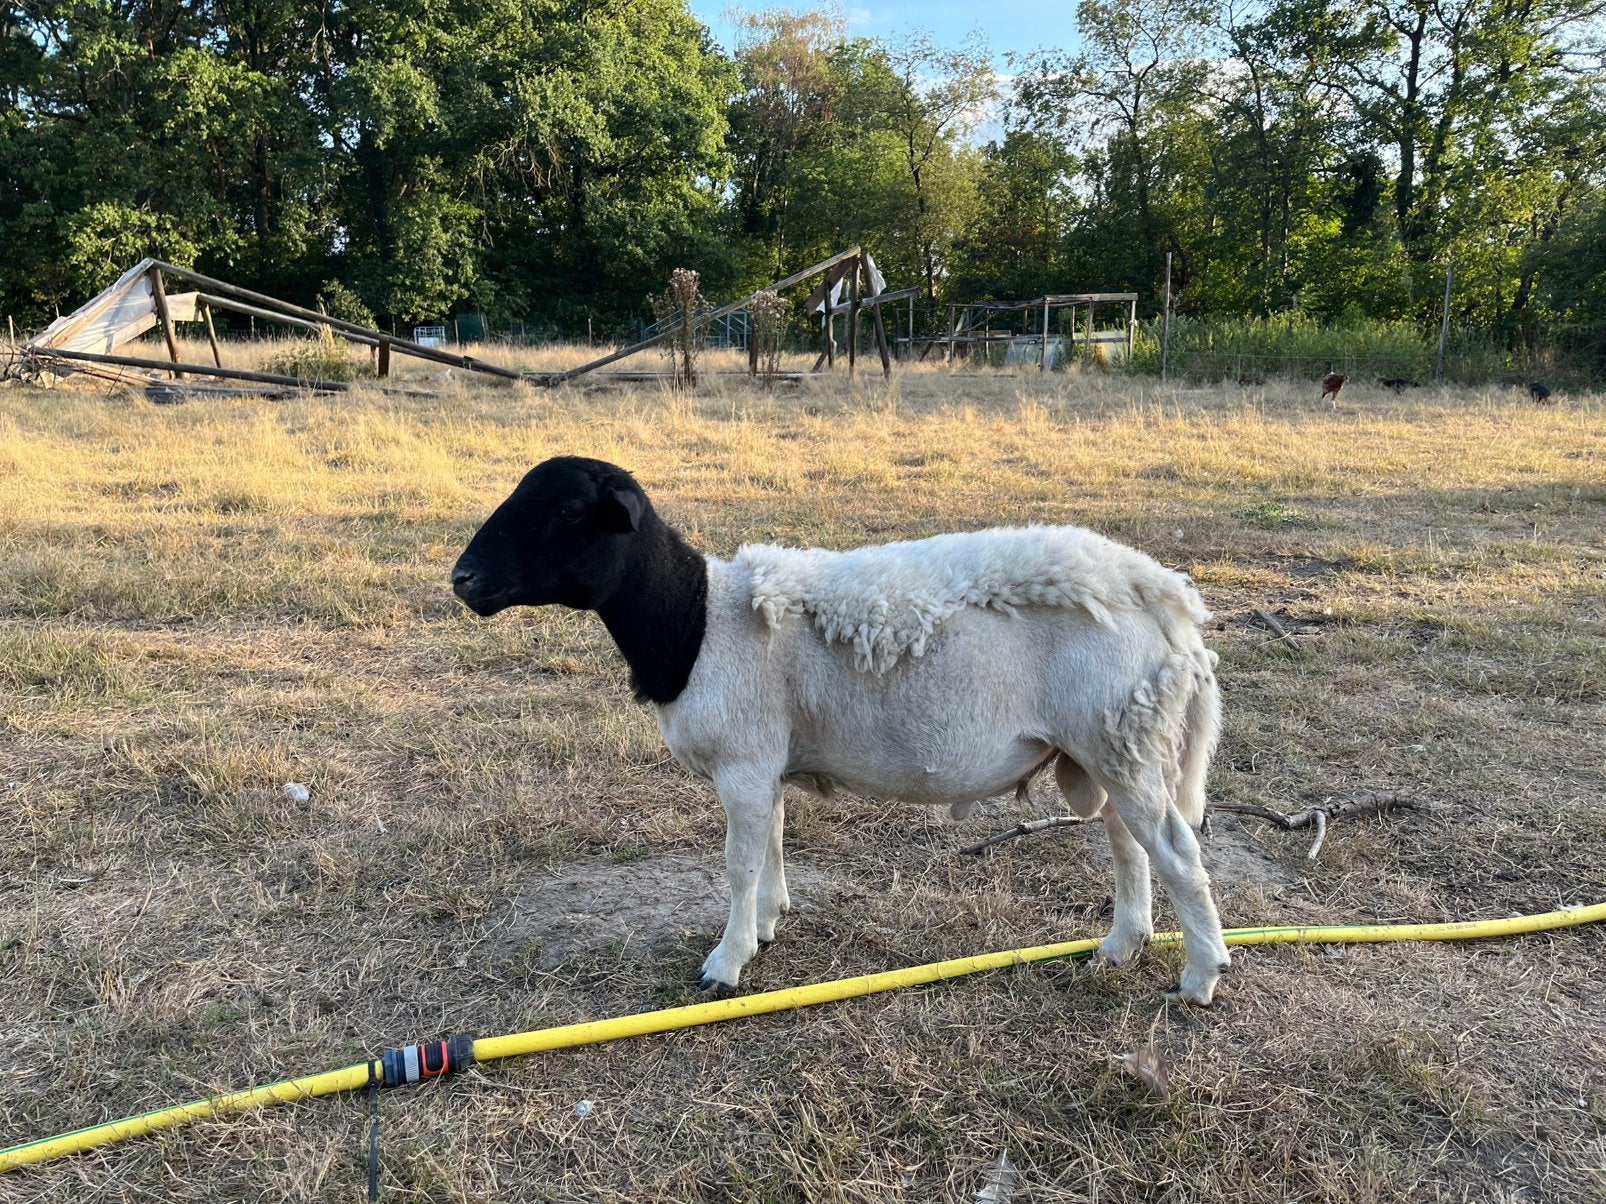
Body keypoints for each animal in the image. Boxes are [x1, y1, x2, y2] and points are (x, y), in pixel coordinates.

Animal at [451, 457, 1233, 1005]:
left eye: (565, 510)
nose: (462, 580)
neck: (697, 620)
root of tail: (1168, 600)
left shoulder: (742, 760)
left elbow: (738, 863)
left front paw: (725, 964)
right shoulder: (766, 762)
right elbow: (770, 844)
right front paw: (767, 924)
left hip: (1120, 733)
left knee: (1176, 852)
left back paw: (1199, 976)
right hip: (1112, 742)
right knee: (1129, 845)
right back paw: (1123, 945)